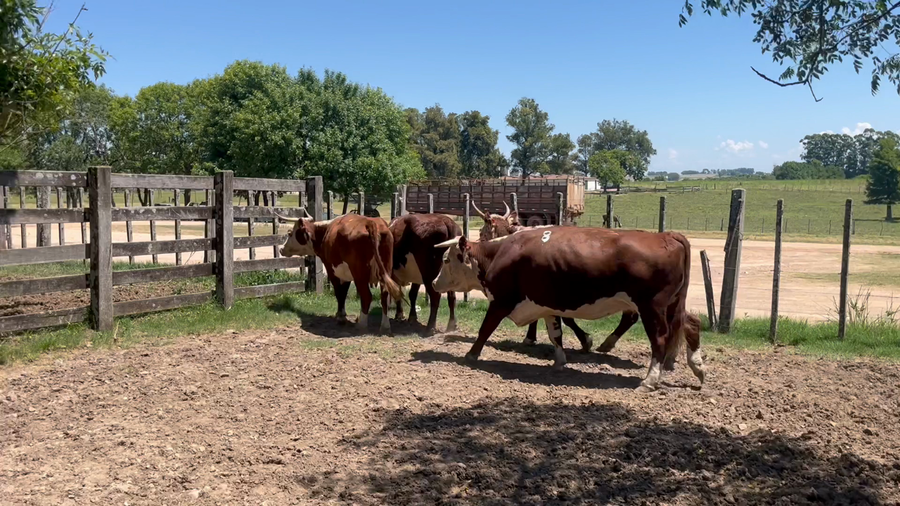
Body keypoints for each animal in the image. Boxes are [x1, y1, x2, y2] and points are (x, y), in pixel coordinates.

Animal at [432, 227, 705, 392]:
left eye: (446, 259)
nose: (434, 283)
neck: (501, 253)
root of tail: (666, 236)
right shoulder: (547, 305)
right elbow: (556, 334)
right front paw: (560, 361)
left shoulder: (501, 301)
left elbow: (485, 329)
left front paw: (470, 354)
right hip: (673, 304)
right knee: (691, 324)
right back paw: (697, 367)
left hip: (652, 307)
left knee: (660, 340)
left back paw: (650, 379)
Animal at [473, 202, 640, 355]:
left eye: (482, 232)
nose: (479, 241)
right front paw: (531, 337)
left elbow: (566, 319)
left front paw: (585, 340)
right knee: (630, 318)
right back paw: (608, 343)